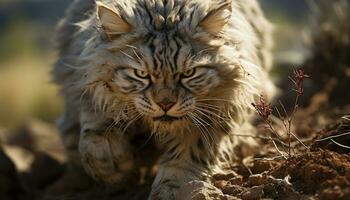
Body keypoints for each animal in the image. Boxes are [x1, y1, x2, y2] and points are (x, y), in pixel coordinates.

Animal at [53, 0, 274, 198]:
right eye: (142, 74)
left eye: (189, 73)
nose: (165, 104)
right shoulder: (87, 84)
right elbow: (96, 133)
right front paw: (113, 167)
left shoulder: (216, 115)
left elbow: (188, 154)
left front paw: (173, 189)